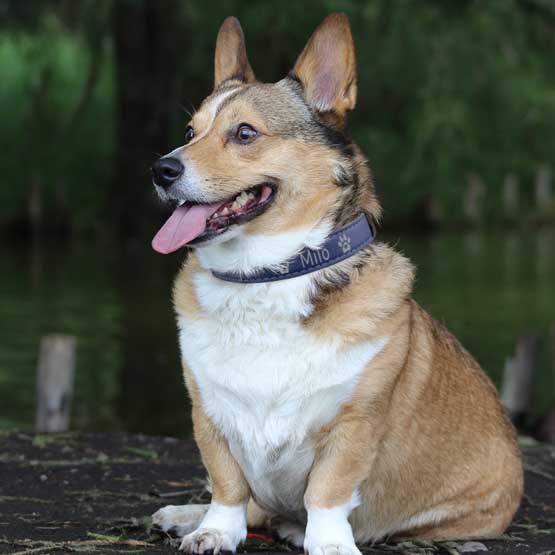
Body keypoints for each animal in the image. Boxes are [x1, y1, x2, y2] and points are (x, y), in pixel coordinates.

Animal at [150, 14, 524, 555]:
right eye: (188, 131)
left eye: (244, 133)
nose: (161, 168)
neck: (267, 275)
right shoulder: (210, 413)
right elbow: (227, 484)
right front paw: (215, 531)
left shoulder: (353, 425)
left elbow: (326, 492)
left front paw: (327, 543)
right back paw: (185, 516)